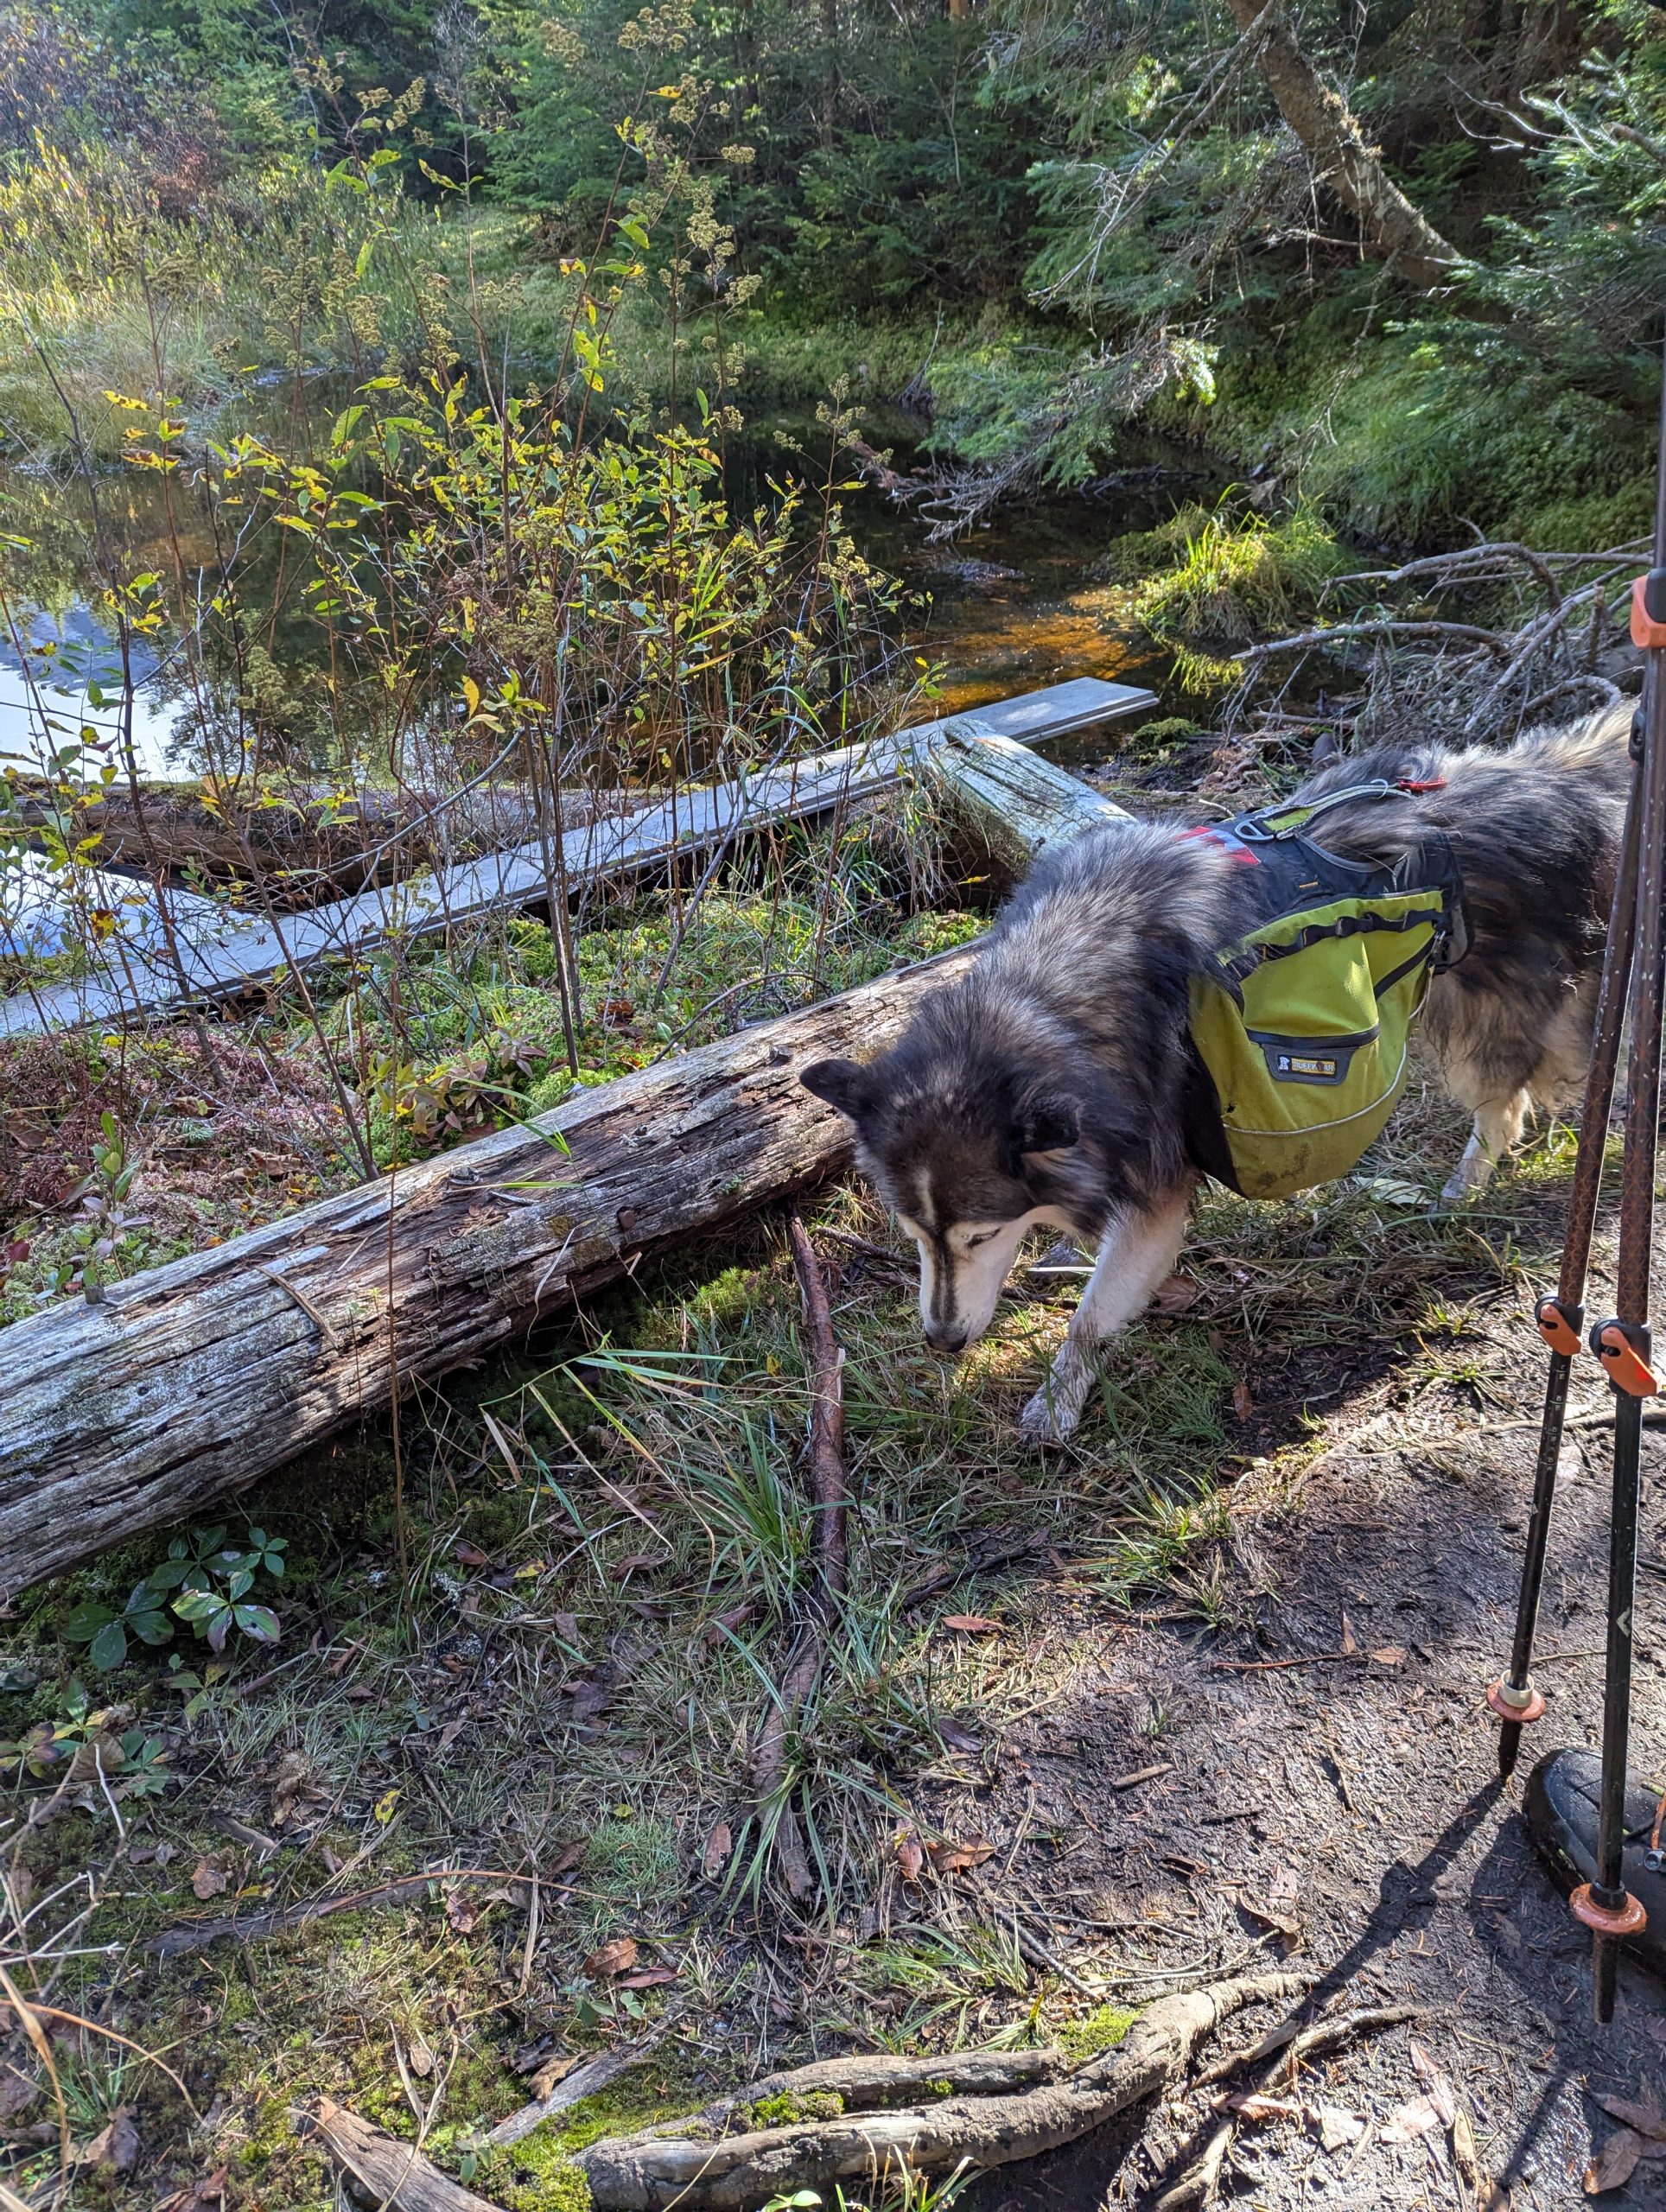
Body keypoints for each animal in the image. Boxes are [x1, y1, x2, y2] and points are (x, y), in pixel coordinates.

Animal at [801, 716, 1631, 1442]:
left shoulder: (1158, 1190)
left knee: (1521, 1100)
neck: (1049, 993)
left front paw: (1057, 1404)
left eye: (978, 1236)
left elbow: (1091, 1317)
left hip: (1501, 1014)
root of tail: (1562, 778)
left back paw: (1479, 1186)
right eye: (913, 1233)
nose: (942, 1343)